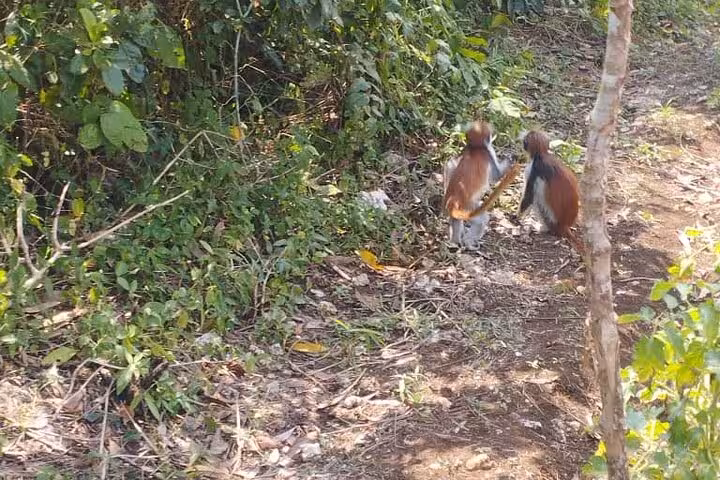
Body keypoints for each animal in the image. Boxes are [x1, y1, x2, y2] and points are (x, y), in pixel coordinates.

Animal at [443, 121, 511, 249]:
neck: (475, 148)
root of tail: (454, 201)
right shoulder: (488, 153)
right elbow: (497, 177)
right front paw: (511, 158)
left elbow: (451, 165)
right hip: (468, 209)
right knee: (482, 220)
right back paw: (468, 242)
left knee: (456, 220)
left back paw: (455, 242)